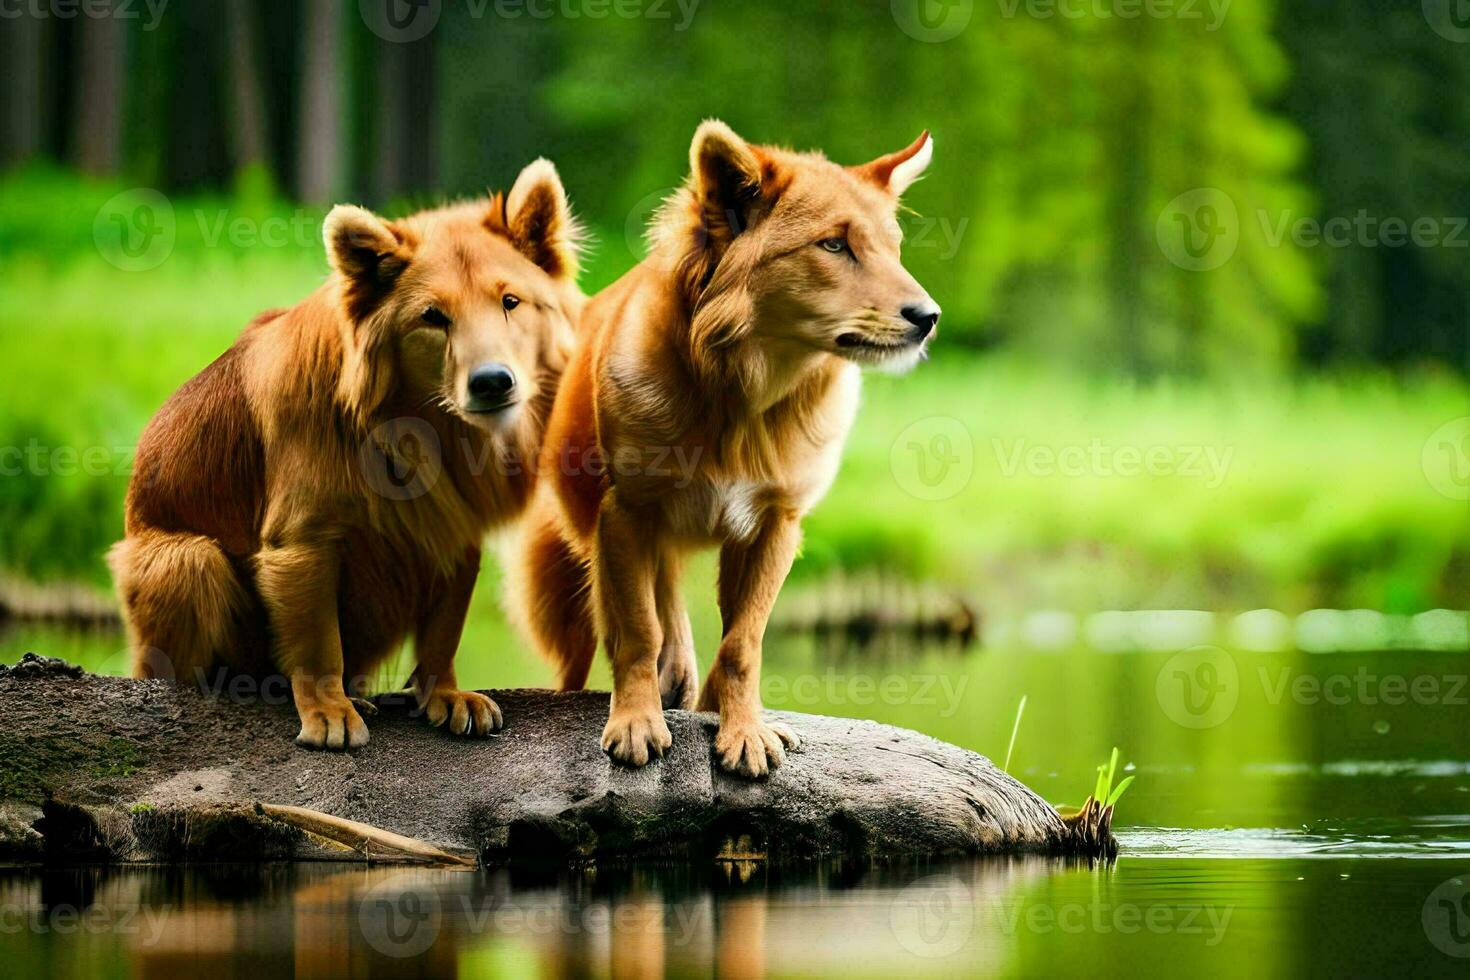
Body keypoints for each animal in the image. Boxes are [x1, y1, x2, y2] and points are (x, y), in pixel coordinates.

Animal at [111, 159, 582, 752]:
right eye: (433, 317)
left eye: (510, 302)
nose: (492, 382)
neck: (427, 428)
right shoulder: (302, 541)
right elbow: (318, 643)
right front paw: (328, 711)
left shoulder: (455, 527)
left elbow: (443, 630)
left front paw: (445, 694)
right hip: (184, 559)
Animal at [511, 122, 934, 775]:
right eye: (833, 245)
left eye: (894, 249)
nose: (928, 317)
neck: (742, 399)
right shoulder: (626, 514)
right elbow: (639, 630)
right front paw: (636, 720)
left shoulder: (776, 525)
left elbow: (743, 642)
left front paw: (743, 728)